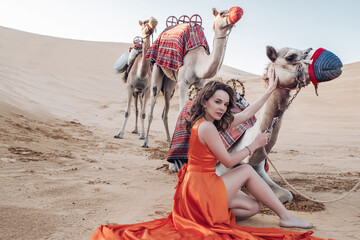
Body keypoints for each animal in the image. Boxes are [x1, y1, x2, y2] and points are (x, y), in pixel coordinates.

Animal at [141, 6, 242, 147]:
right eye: (222, 13)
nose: (238, 12)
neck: (199, 61)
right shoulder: (183, 82)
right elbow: (181, 113)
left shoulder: (201, 84)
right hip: (157, 66)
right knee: (152, 102)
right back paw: (145, 141)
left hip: (170, 82)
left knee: (165, 109)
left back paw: (169, 141)